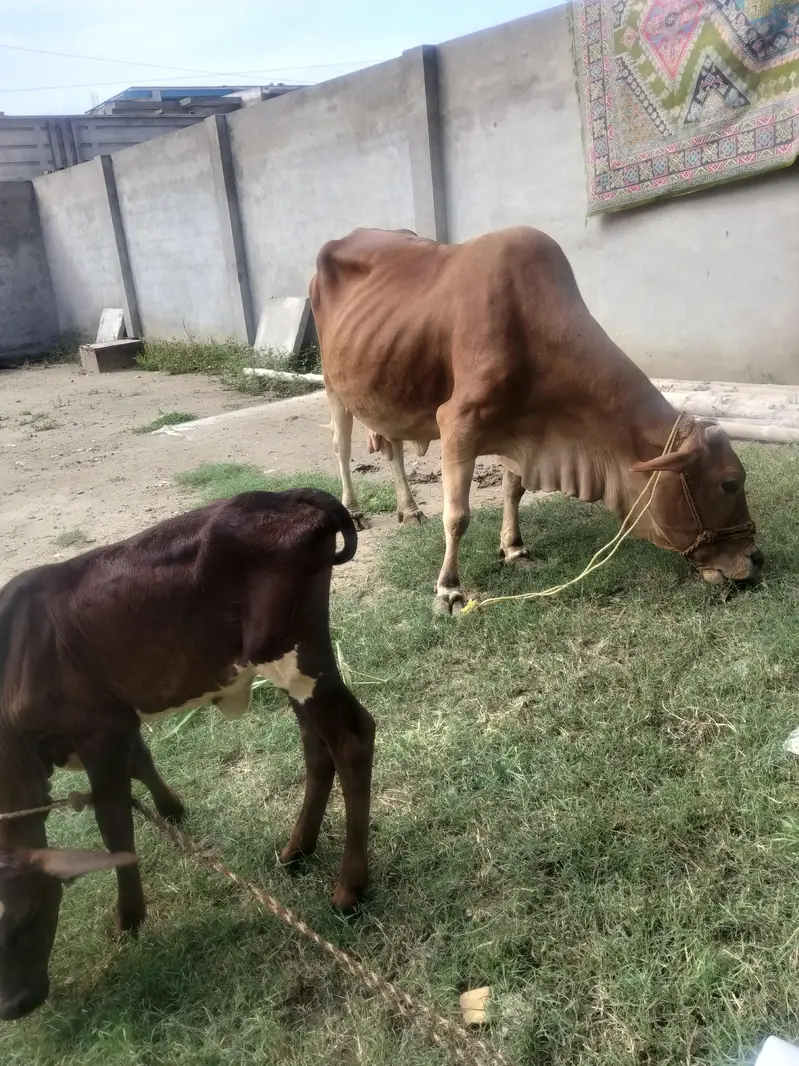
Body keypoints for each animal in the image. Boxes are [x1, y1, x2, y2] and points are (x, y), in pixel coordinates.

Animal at [0, 489, 374, 1021]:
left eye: (26, 920)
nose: (13, 1006)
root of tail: (286, 496)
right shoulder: (119, 720)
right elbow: (142, 761)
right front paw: (172, 809)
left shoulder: (99, 729)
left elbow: (114, 823)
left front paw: (129, 920)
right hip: (293, 668)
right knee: (316, 748)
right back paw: (296, 851)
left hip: (297, 657)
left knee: (351, 740)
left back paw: (348, 889)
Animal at [310, 226, 762, 612]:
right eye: (728, 483)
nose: (755, 557)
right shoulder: (458, 423)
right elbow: (457, 516)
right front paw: (449, 589)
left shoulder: (522, 431)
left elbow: (514, 491)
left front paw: (514, 549)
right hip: (334, 385)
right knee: (341, 446)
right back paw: (354, 510)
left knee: (394, 449)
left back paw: (410, 510)